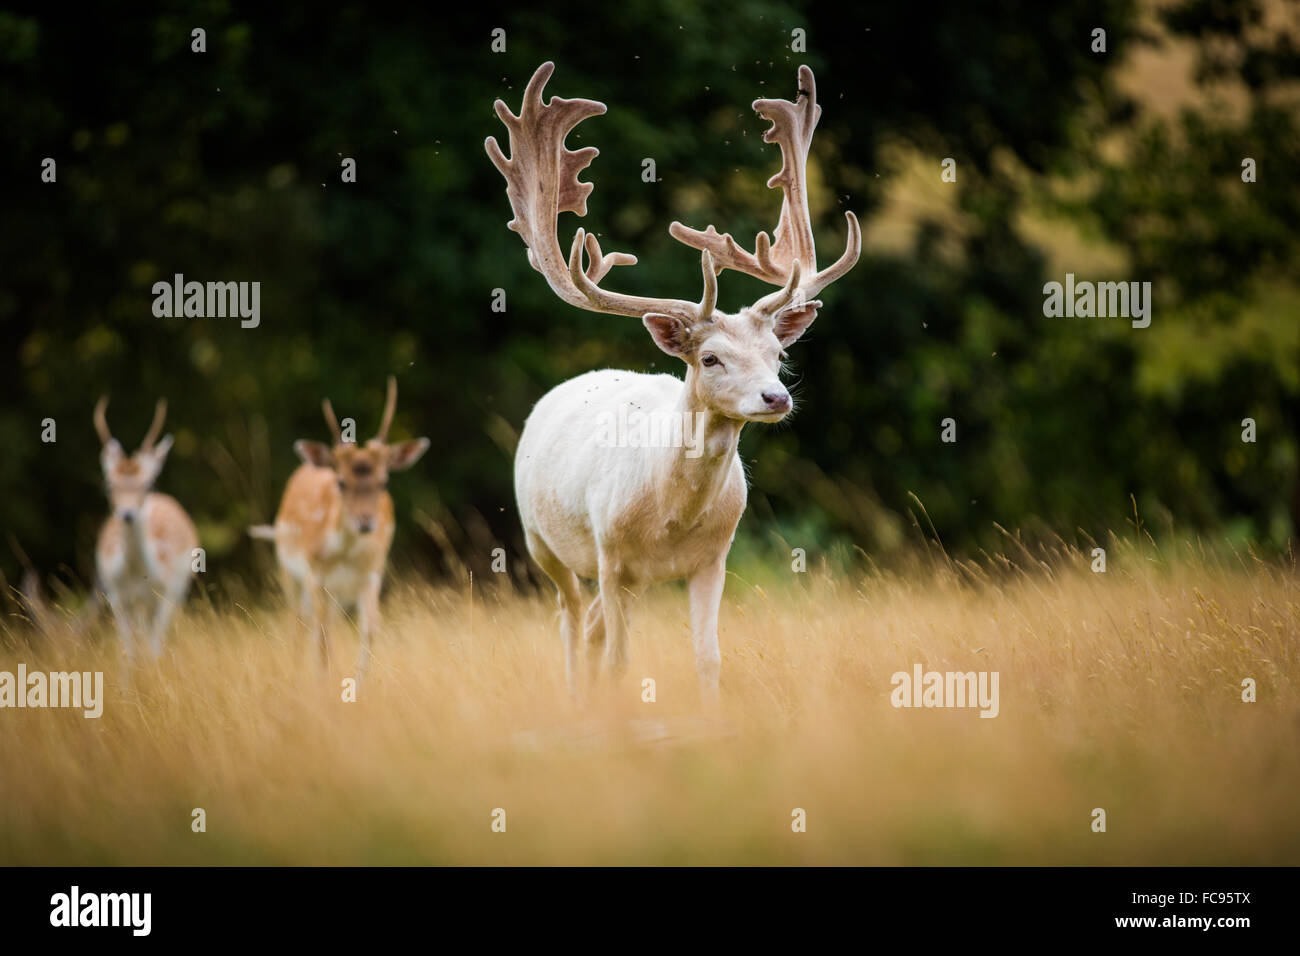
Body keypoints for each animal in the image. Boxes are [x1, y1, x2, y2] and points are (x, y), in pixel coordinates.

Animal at [94, 395, 198, 658]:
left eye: (148, 484)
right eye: (109, 485)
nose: (127, 514)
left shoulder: (165, 595)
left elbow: (154, 645)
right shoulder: (116, 597)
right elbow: (128, 651)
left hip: (178, 590)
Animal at [252, 377, 431, 686]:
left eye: (384, 482)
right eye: (341, 482)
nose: (366, 523)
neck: (345, 553)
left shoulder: (372, 572)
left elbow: (369, 628)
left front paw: (359, 683)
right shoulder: (314, 574)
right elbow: (321, 636)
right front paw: (323, 683)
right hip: (289, 573)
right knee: (299, 625)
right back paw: (298, 673)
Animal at [488, 63, 863, 697]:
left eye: (777, 354)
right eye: (709, 358)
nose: (776, 397)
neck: (671, 521)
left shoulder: (714, 559)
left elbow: (708, 658)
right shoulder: (611, 556)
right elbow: (619, 659)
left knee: (590, 626)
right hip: (543, 541)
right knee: (571, 622)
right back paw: (574, 696)